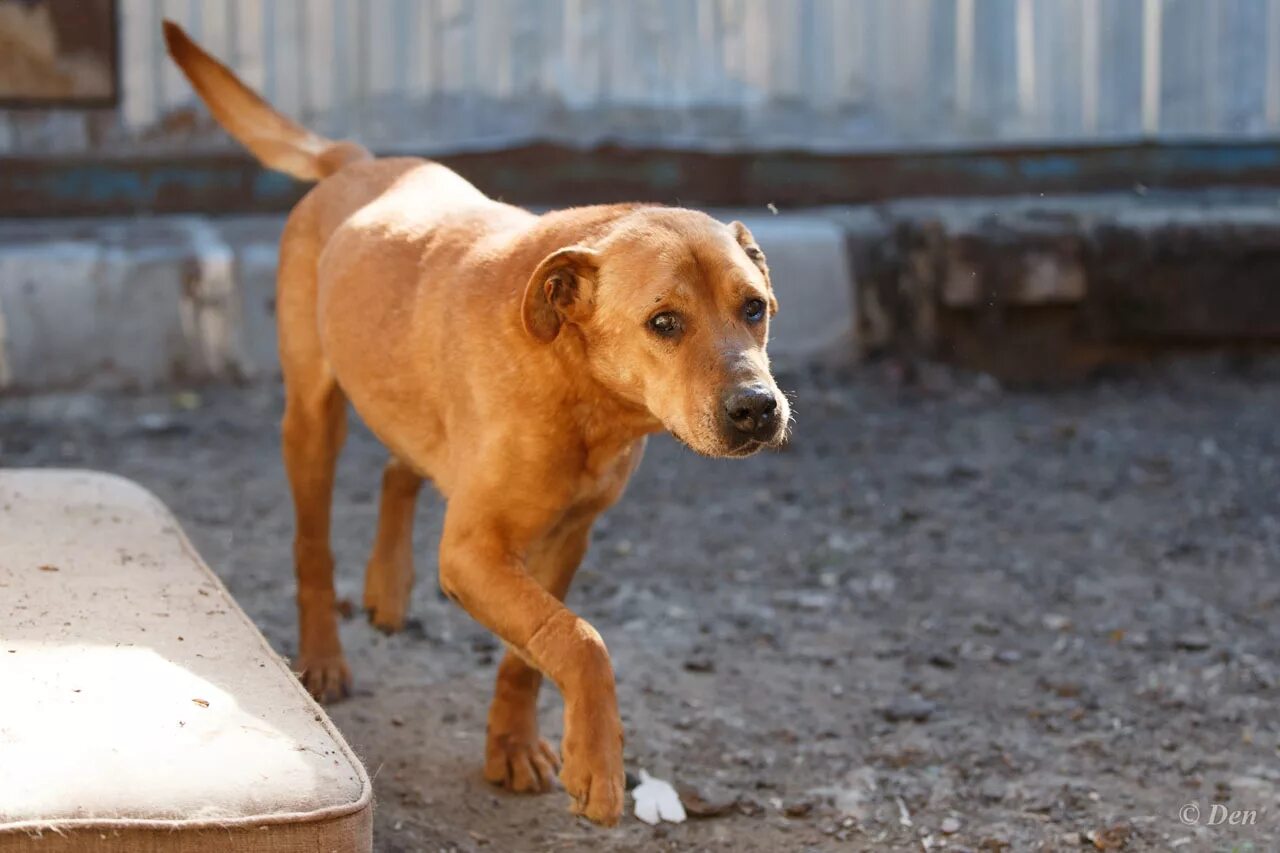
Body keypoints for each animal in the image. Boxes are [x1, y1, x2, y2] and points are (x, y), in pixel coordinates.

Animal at [165, 23, 788, 824]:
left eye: (755, 307)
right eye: (664, 322)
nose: (757, 408)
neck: (581, 386)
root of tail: (355, 161)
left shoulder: (564, 539)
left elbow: (533, 652)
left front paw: (515, 746)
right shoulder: (471, 551)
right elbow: (580, 638)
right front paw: (599, 761)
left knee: (400, 464)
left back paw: (388, 585)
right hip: (312, 416)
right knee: (313, 547)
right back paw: (325, 656)